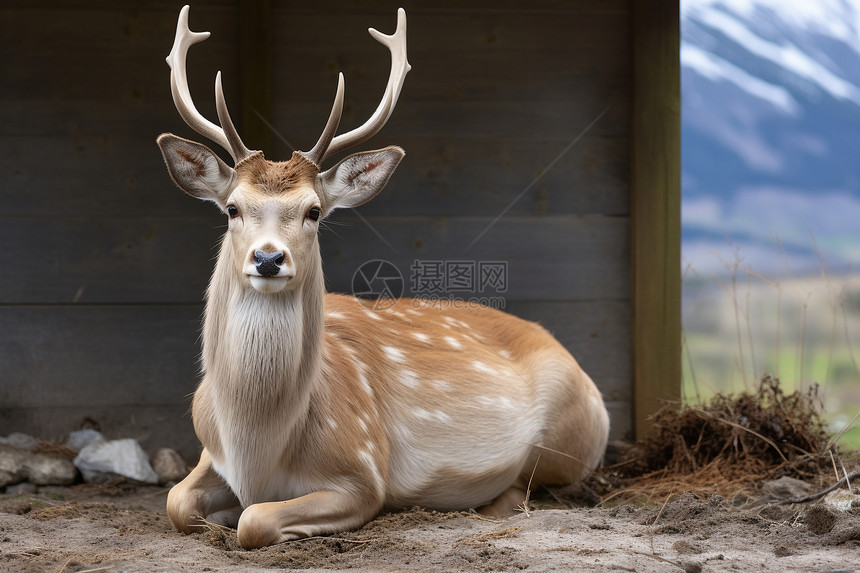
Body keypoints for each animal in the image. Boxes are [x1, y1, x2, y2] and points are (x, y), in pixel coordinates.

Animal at [156, 5, 612, 548]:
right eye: (232, 208)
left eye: (314, 212)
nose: (268, 259)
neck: (256, 451)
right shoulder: (209, 452)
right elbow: (176, 502)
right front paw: (216, 514)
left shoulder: (363, 469)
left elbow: (256, 520)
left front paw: (239, 518)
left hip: (567, 442)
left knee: (529, 487)